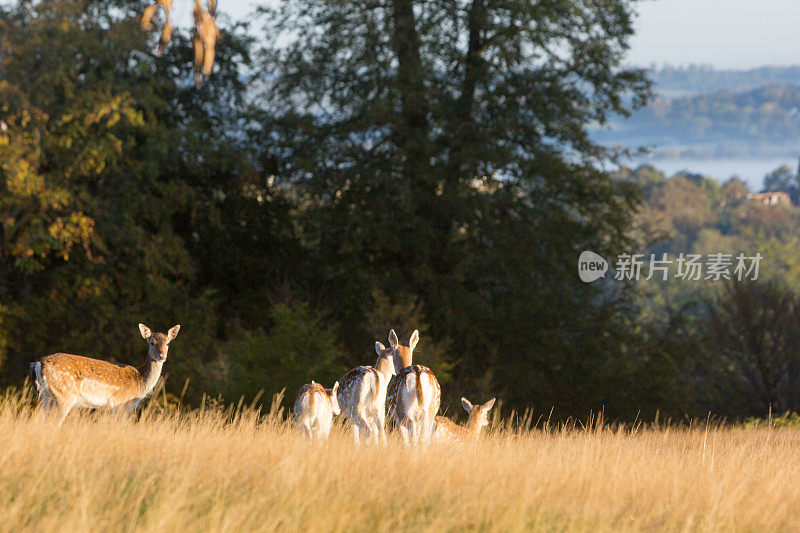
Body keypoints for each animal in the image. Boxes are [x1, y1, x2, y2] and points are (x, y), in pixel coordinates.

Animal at [29, 322, 180, 426]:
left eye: (168, 344)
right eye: (152, 342)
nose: (162, 356)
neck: (140, 381)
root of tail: (38, 364)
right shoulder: (119, 402)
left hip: (46, 396)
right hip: (63, 395)